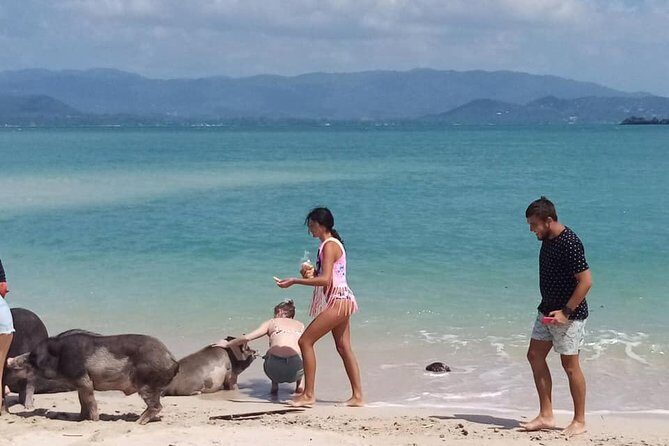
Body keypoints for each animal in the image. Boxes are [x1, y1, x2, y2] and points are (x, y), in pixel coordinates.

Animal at [24, 331, 179, 424]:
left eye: (32, 357)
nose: (19, 360)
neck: (59, 354)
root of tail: (172, 359)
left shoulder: (83, 378)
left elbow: (89, 400)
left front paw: (94, 420)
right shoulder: (81, 383)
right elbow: (82, 401)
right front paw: (81, 419)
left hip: (147, 384)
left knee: (157, 406)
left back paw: (137, 422)